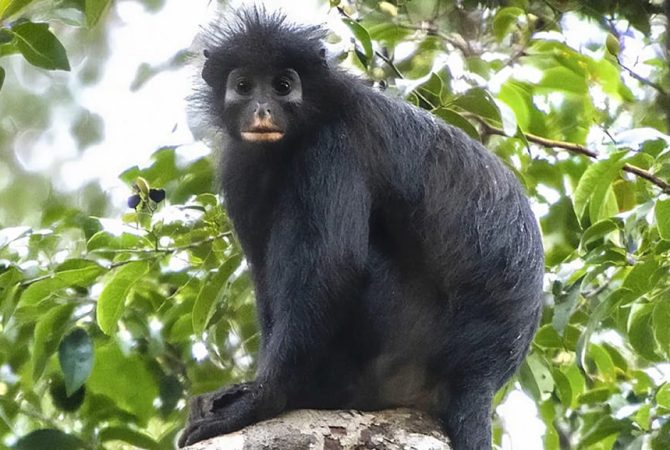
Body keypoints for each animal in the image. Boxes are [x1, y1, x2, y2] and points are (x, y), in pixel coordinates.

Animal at [179, 9, 544, 450]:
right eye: (244, 86)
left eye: (283, 86)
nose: (263, 110)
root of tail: (481, 374)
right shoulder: (241, 166)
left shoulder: (333, 147)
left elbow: (332, 267)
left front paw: (264, 399)